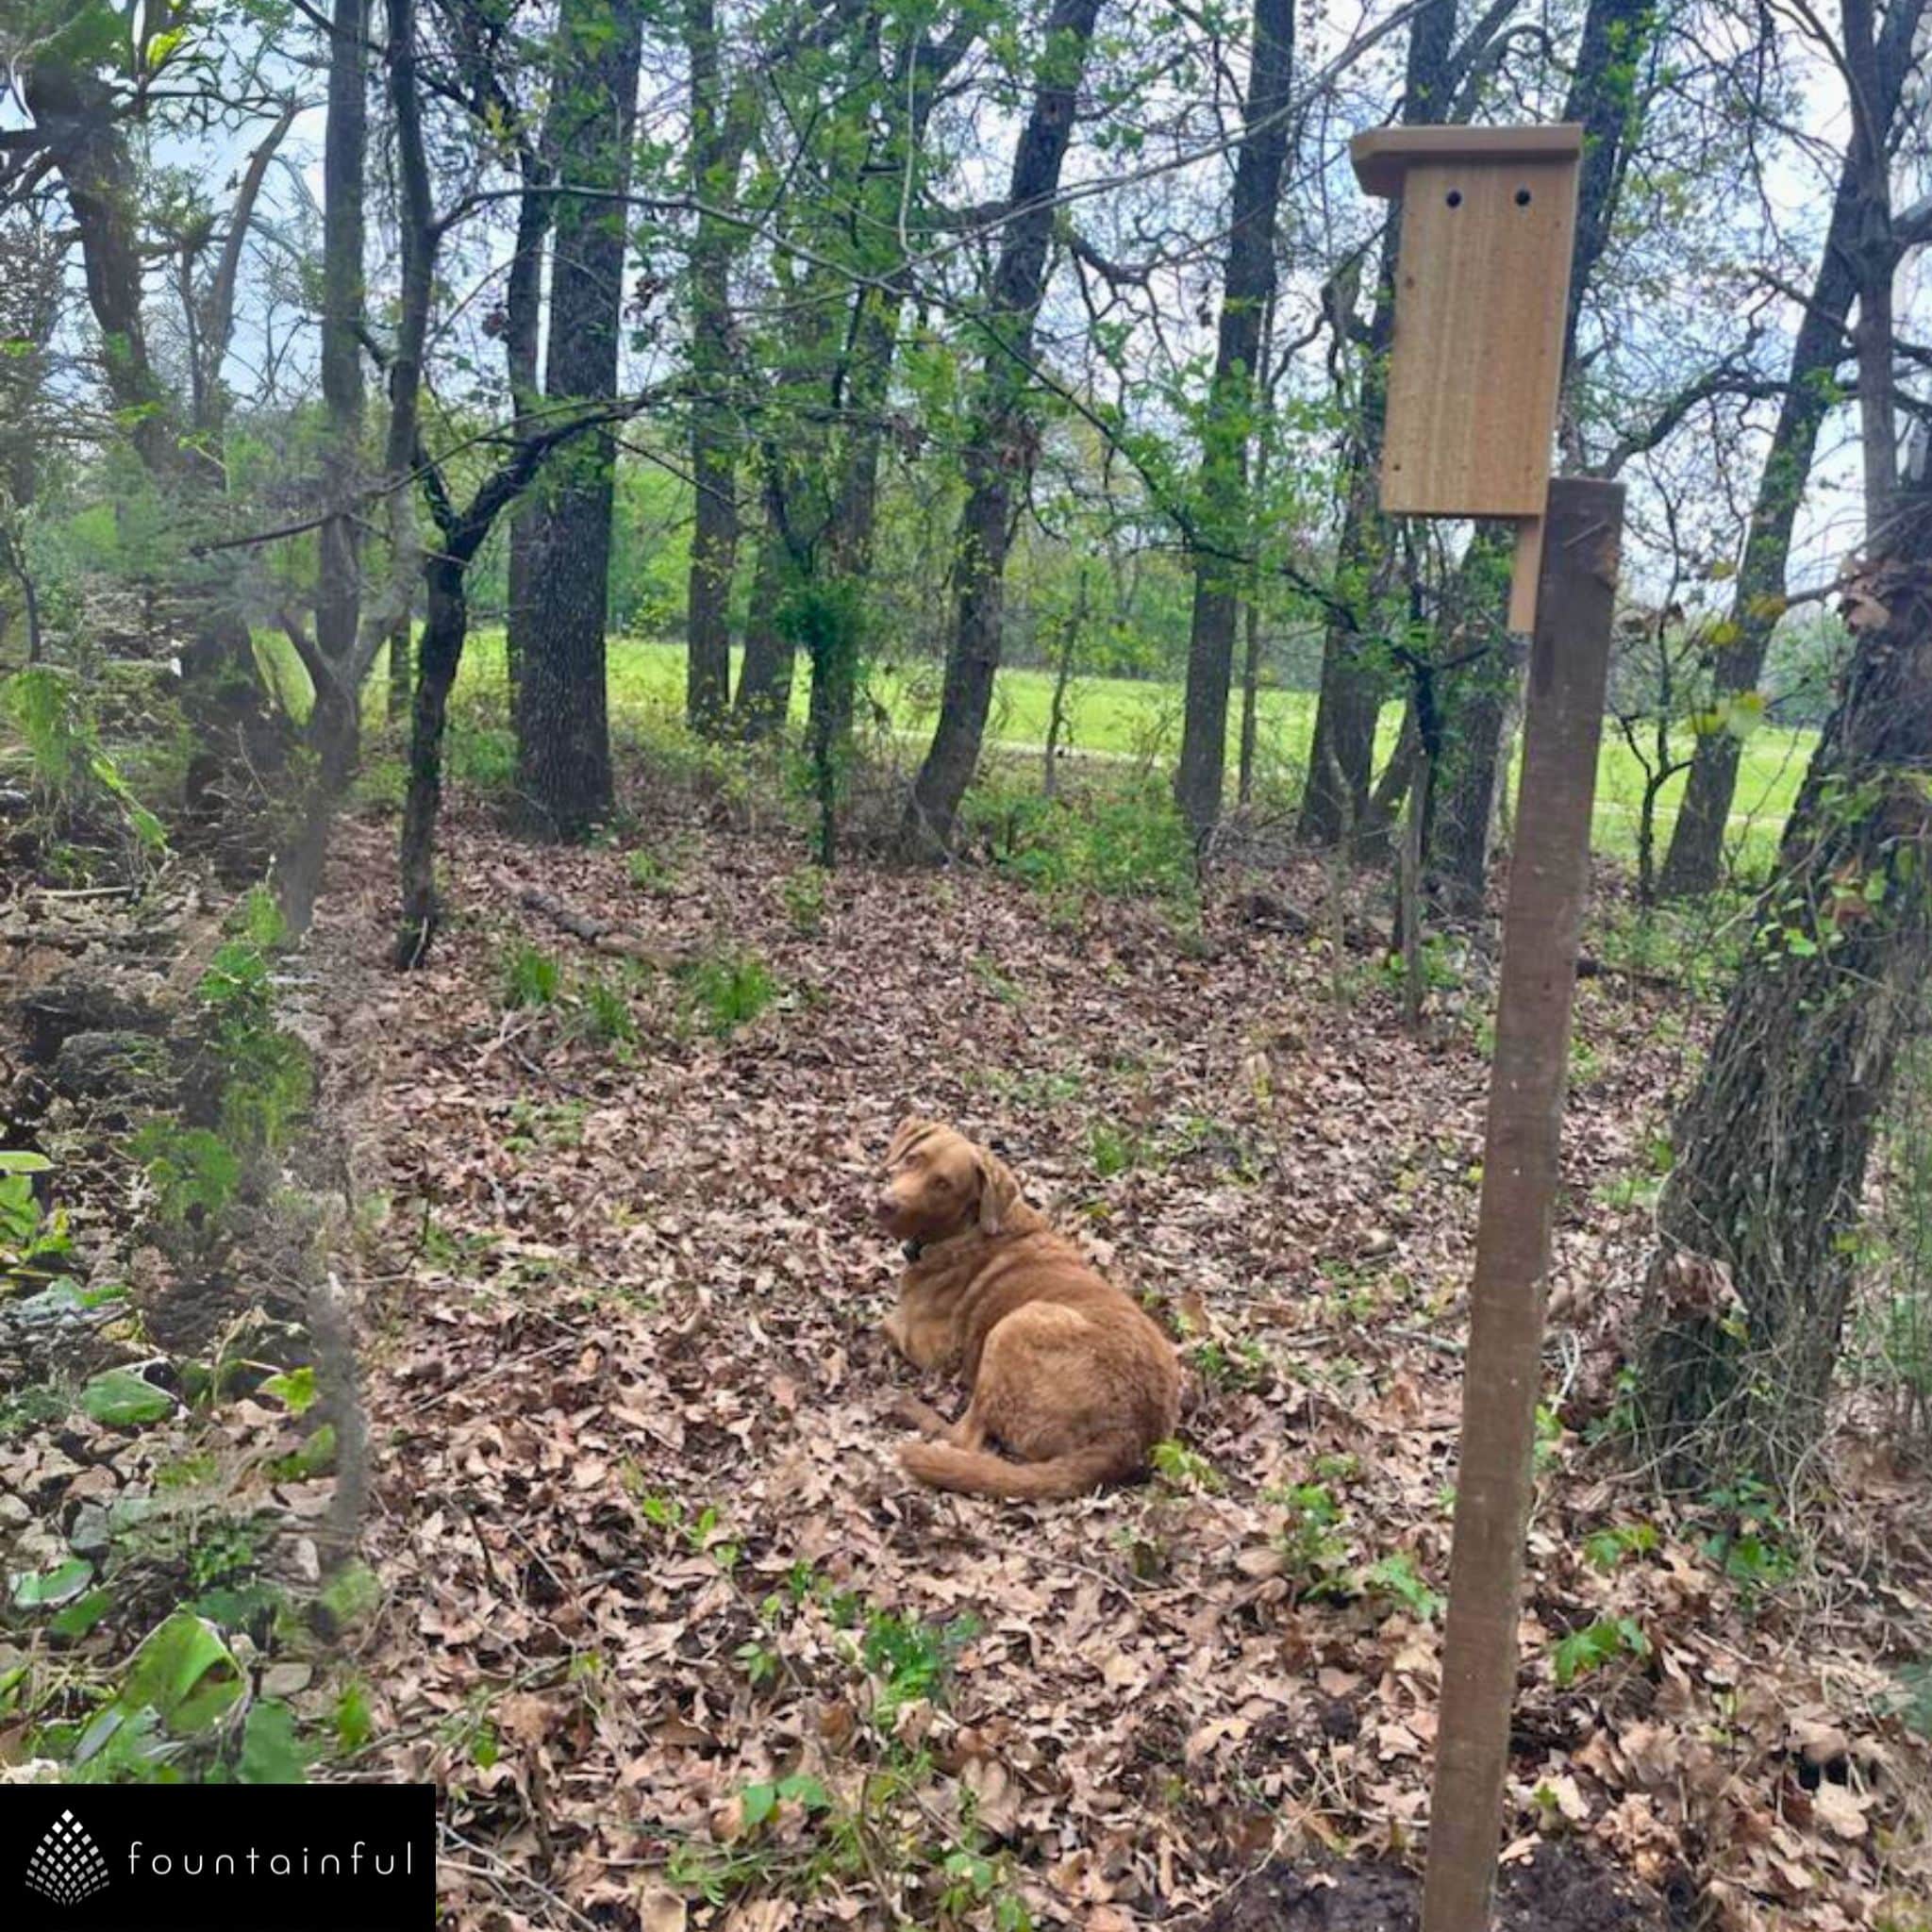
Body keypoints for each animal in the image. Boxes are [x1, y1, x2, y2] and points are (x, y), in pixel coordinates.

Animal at [876, 1112, 1174, 1499]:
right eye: (913, 1159)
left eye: (942, 1184)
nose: (885, 1203)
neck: (967, 1230)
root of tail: (1127, 1436)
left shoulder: (935, 1350)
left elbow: (886, 1322)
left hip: (1015, 1325)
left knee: (965, 1439)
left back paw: (908, 1409)